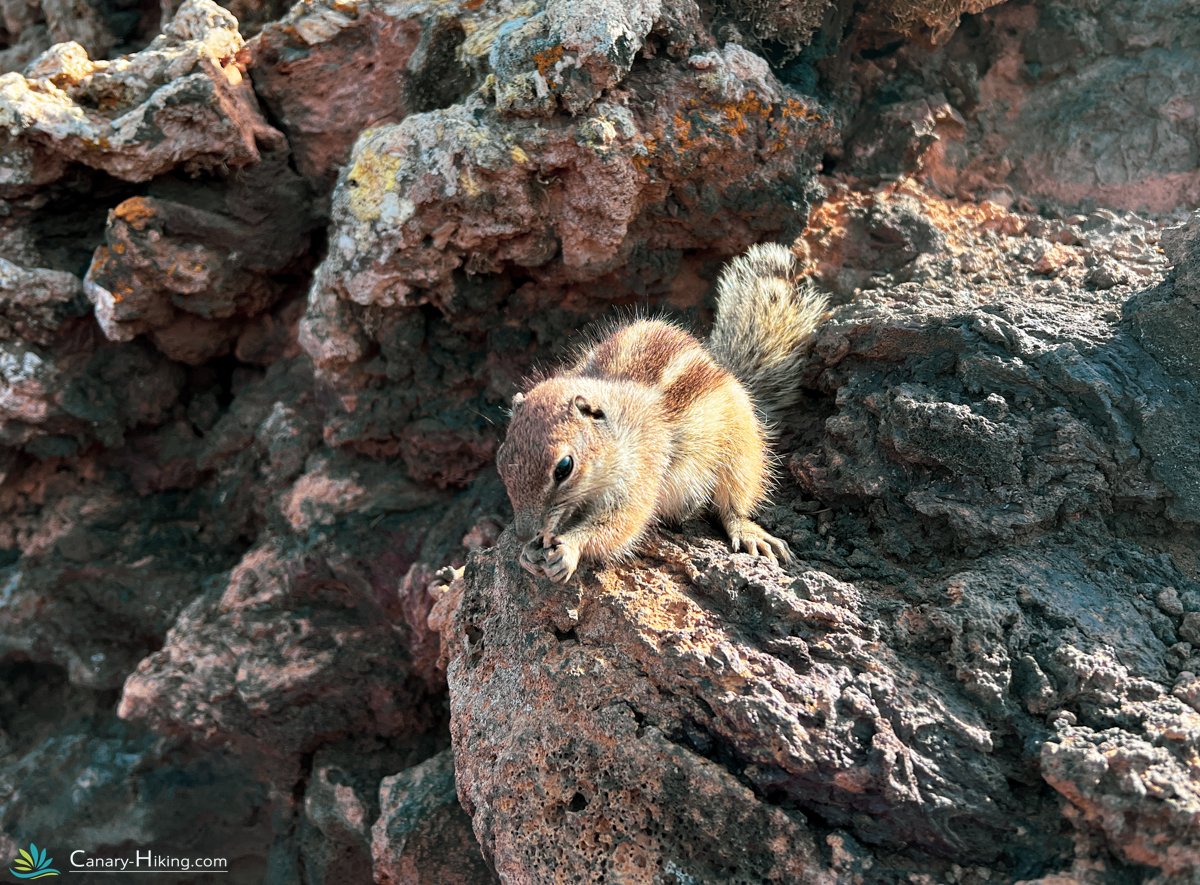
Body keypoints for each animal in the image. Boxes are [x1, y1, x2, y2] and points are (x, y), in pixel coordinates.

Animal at [496, 243, 829, 584]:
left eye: (564, 467)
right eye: (500, 458)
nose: (524, 534)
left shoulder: (640, 471)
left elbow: (622, 522)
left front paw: (569, 548)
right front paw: (528, 553)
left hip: (741, 453)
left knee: (734, 504)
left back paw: (749, 531)